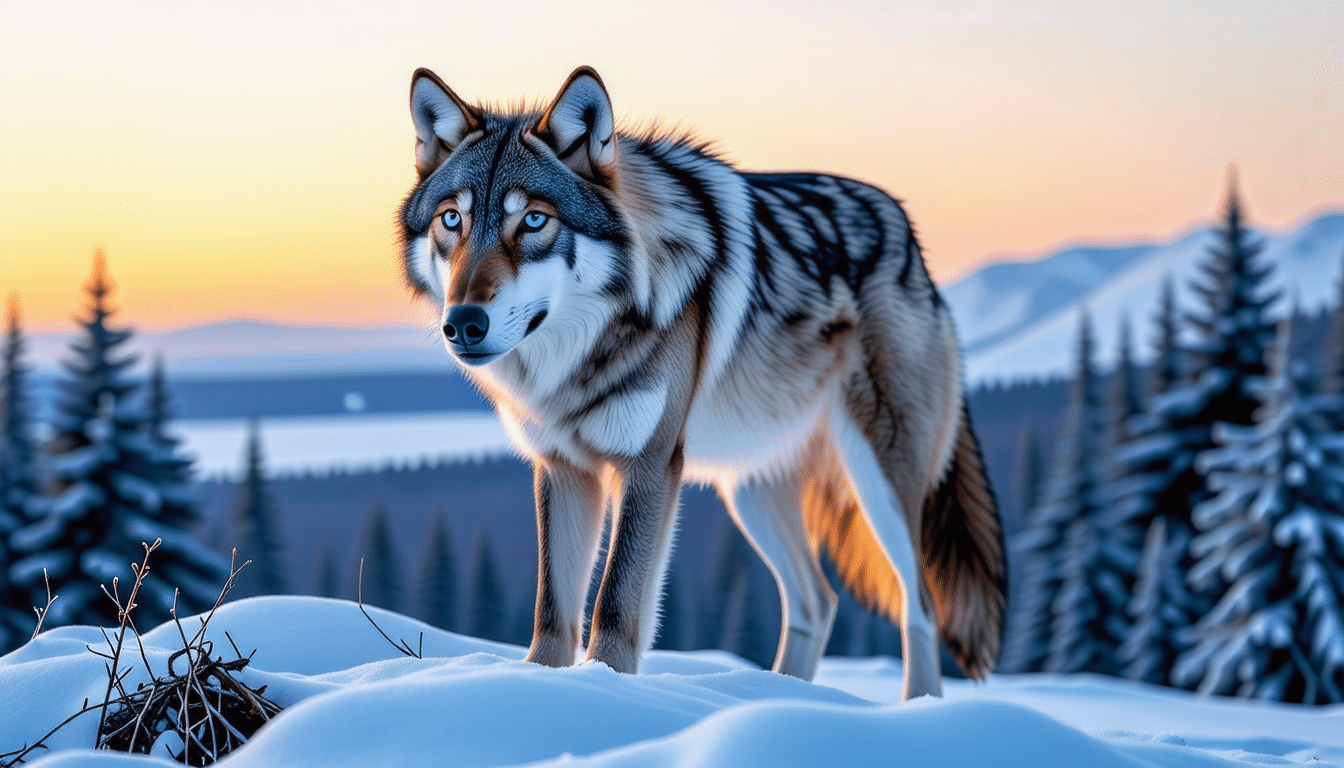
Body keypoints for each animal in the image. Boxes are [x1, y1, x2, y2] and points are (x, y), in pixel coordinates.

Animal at [398, 66, 1006, 700]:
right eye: (452, 219)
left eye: (534, 220)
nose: (464, 323)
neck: (578, 357)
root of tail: (909, 234)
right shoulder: (563, 468)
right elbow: (551, 612)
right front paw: (542, 689)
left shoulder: (650, 462)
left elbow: (615, 604)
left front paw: (607, 689)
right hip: (751, 491)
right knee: (818, 600)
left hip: (879, 482)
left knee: (921, 607)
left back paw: (917, 709)